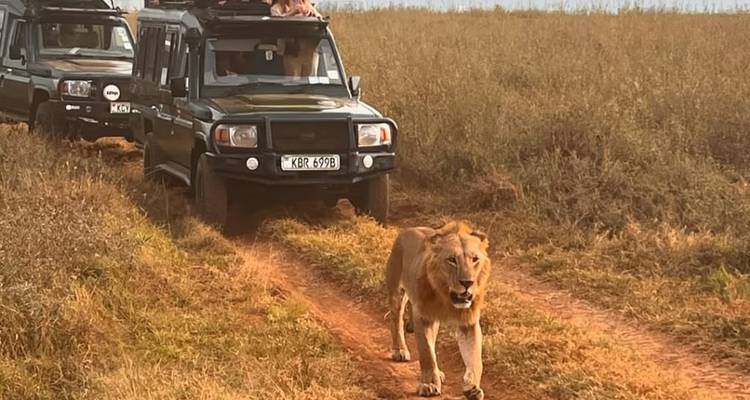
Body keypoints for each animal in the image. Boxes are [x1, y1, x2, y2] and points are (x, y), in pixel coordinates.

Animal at [386, 221, 490, 400]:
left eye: (475, 259)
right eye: (452, 260)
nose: (468, 282)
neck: (445, 295)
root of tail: (408, 229)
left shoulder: (469, 322)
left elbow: (475, 358)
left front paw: (472, 387)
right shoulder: (423, 316)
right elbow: (427, 353)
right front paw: (429, 384)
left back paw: (439, 373)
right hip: (397, 292)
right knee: (396, 321)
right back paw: (400, 350)